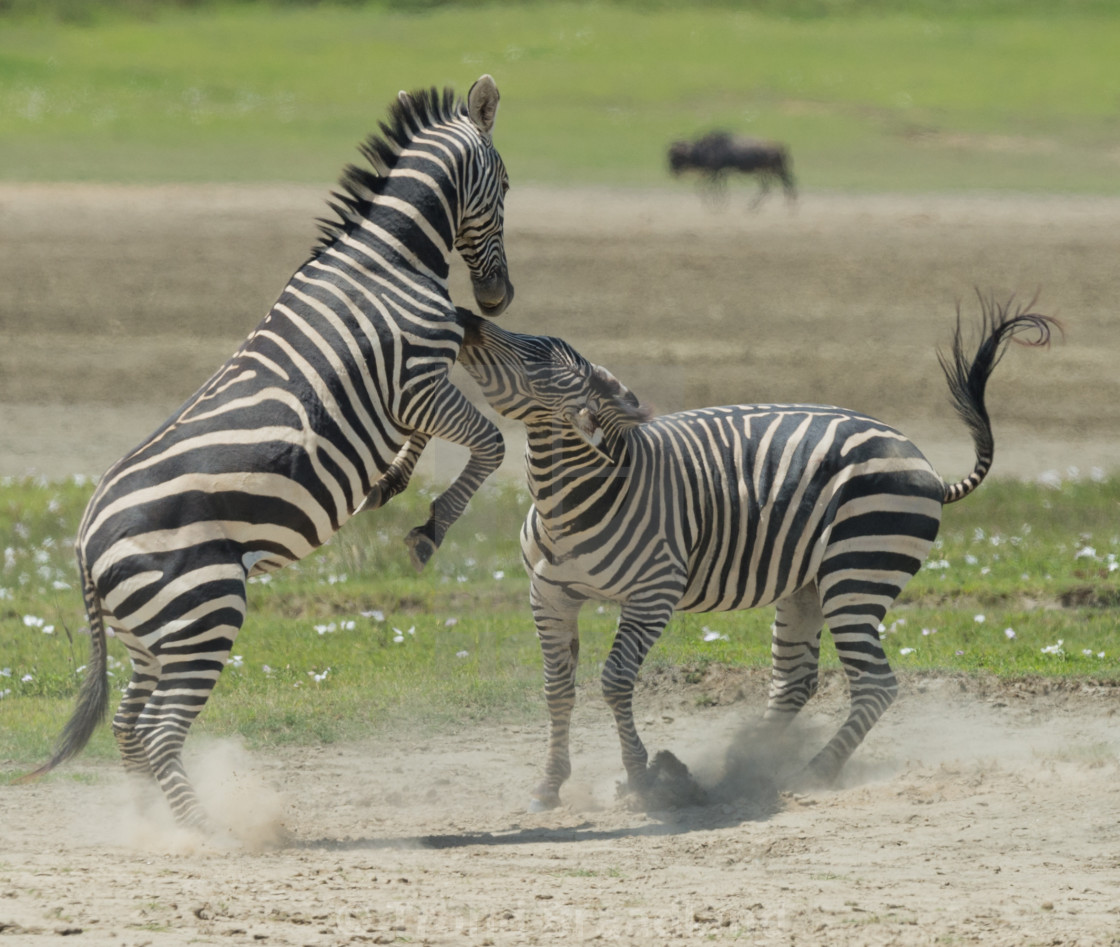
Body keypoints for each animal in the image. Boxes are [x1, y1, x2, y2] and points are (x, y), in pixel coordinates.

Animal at [22, 76, 512, 832]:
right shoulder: (417, 380)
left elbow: (428, 438)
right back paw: (209, 834)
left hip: (149, 636)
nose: (499, 298)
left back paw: (153, 826)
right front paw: (429, 529)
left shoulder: (411, 392)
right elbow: (489, 442)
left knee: (130, 728)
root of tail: (81, 540)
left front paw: (391, 480)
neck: (390, 259)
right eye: (509, 187)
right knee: (157, 731)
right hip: (203, 609)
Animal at [456, 295, 1057, 810]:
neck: (572, 498)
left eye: (536, 356)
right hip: (807, 586)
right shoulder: (550, 594)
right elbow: (558, 688)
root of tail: (925, 464)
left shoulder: (653, 594)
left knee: (874, 684)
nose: (463, 316)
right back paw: (738, 769)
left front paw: (639, 777)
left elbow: (614, 681)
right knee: (795, 681)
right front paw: (550, 784)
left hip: (857, 572)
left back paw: (813, 772)